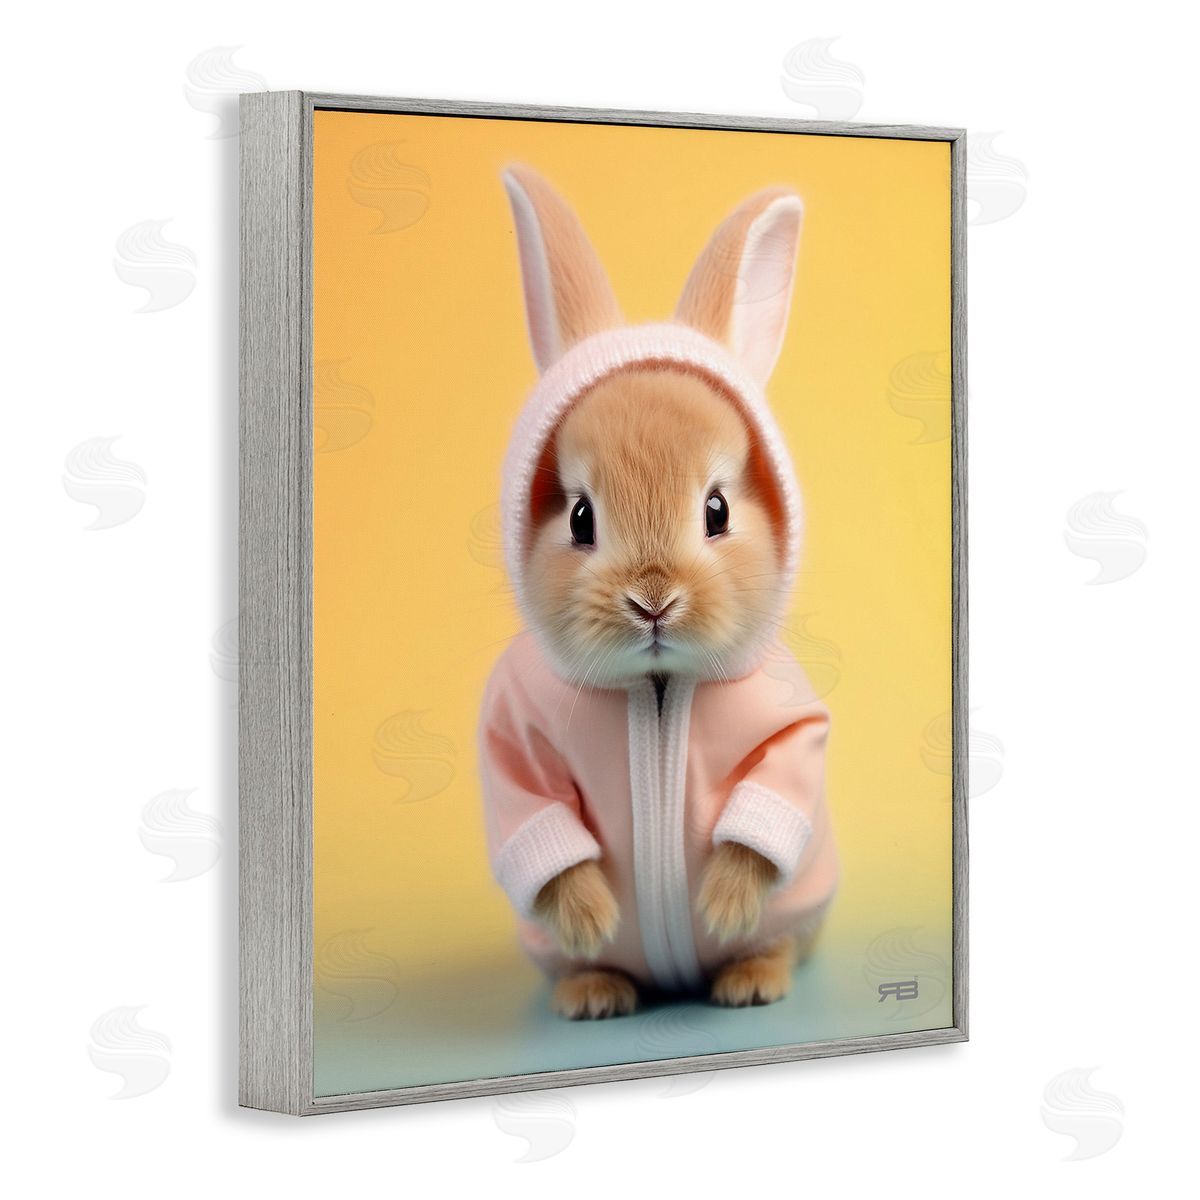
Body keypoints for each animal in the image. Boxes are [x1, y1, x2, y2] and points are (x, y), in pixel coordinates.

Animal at [479, 164, 838, 1019]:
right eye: (580, 517)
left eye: (717, 511)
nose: (652, 600)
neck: (658, 686)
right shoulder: (511, 740)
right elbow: (540, 824)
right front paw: (592, 918)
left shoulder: (790, 724)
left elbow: (770, 797)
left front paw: (720, 904)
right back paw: (594, 990)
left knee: (777, 936)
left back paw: (748, 981)